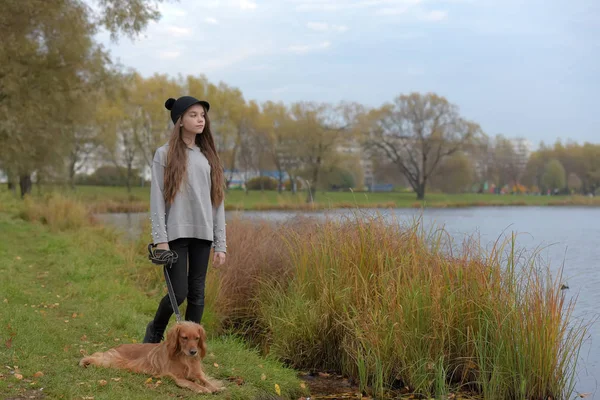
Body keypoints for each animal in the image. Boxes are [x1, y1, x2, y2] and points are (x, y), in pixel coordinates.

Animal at [78, 320, 221, 392]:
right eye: (184, 338)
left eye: (197, 338)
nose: (193, 352)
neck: (184, 357)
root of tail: (118, 346)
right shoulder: (177, 377)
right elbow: (192, 383)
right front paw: (203, 389)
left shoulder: (197, 373)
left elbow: (205, 380)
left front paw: (214, 387)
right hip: (112, 361)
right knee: (96, 357)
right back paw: (84, 361)